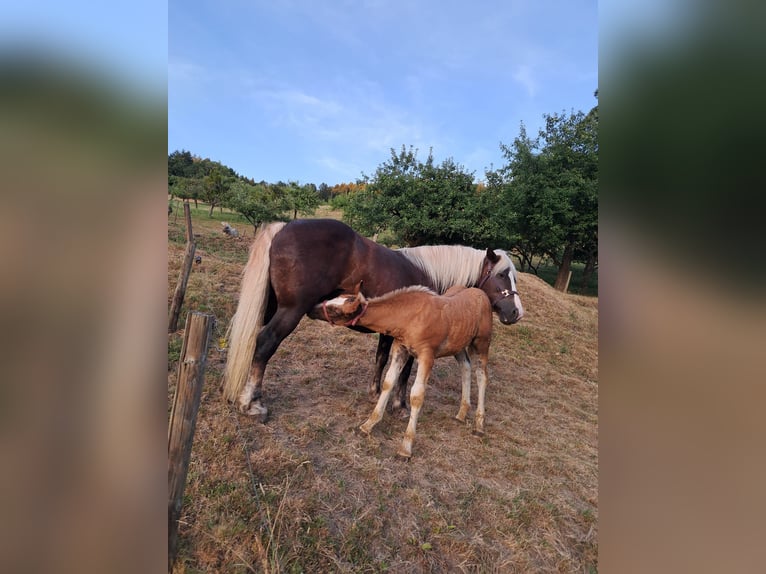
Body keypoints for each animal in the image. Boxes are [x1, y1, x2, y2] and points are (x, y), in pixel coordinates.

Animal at [222, 218, 523, 421]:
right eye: (502, 275)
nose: (516, 313)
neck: (428, 273)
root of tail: (282, 228)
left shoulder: (389, 332)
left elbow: (381, 360)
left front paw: (375, 394)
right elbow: (404, 372)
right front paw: (399, 406)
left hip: (270, 306)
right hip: (289, 311)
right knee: (264, 343)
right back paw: (252, 403)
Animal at [310, 283, 493, 459]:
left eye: (335, 311)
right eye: (334, 300)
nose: (311, 308)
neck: (409, 317)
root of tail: (481, 294)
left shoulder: (427, 356)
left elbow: (417, 396)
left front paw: (405, 449)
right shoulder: (401, 348)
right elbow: (388, 382)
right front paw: (367, 425)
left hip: (482, 343)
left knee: (482, 376)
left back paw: (479, 426)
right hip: (458, 346)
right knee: (465, 367)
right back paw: (461, 414)